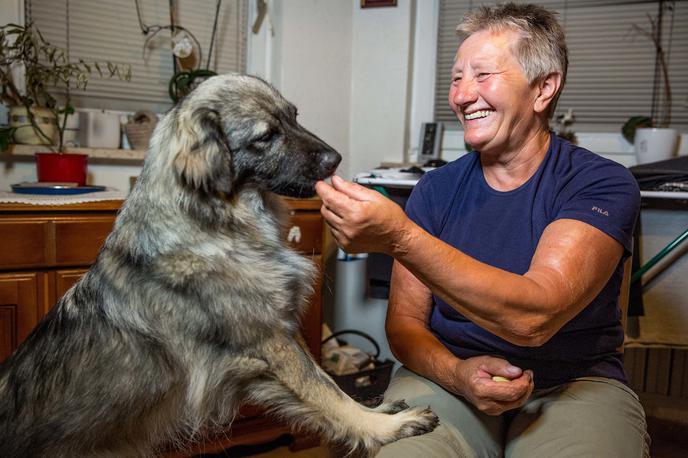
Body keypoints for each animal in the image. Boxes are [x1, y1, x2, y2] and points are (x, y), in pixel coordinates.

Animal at [0, 75, 438, 458]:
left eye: (294, 117)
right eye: (265, 136)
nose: (336, 159)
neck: (214, 224)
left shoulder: (273, 346)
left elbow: (328, 384)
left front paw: (375, 411)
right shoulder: (269, 342)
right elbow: (324, 391)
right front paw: (382, 428)